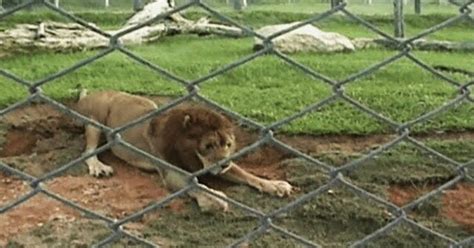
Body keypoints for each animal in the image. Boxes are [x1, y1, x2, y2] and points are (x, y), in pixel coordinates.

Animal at [75, 90, 292, 211]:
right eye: (208, 146)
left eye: (228, 144)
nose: (224, 164)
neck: (191, 155)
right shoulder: (171, 172)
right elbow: (194, 185)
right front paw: (213, 198)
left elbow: (248, 175)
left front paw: (275, 185)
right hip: (95, 117)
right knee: (88, 151)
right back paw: (99, 167)